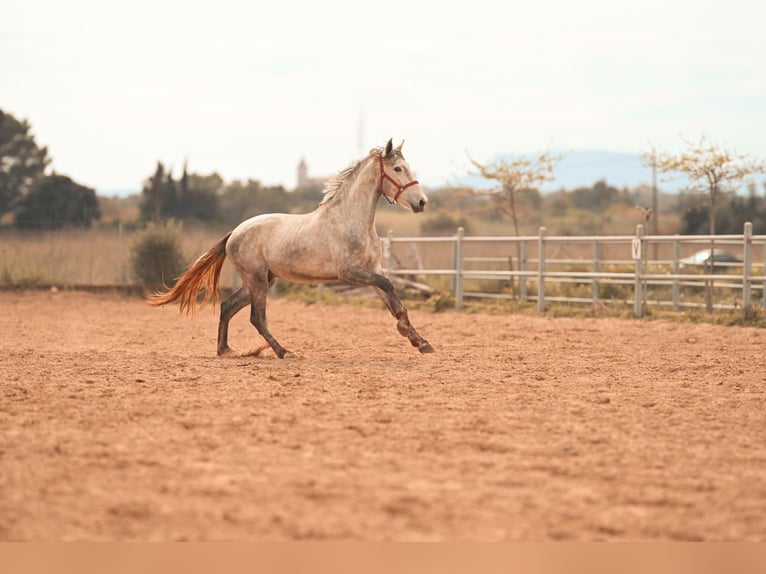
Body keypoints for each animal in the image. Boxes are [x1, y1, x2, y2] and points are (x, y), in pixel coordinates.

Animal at [147, 138, 435, 358]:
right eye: (397, 169)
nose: (422, 202)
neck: (352, 220)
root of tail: (234, 232)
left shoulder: (372, 269)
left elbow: (393, 301)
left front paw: (421, 342)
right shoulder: (350, 272)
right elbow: (390, 287)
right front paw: (408, 333)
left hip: (262, 280)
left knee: (228, 306)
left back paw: (226, 351)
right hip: (257, 280)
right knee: (256, 318)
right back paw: (284, 352)